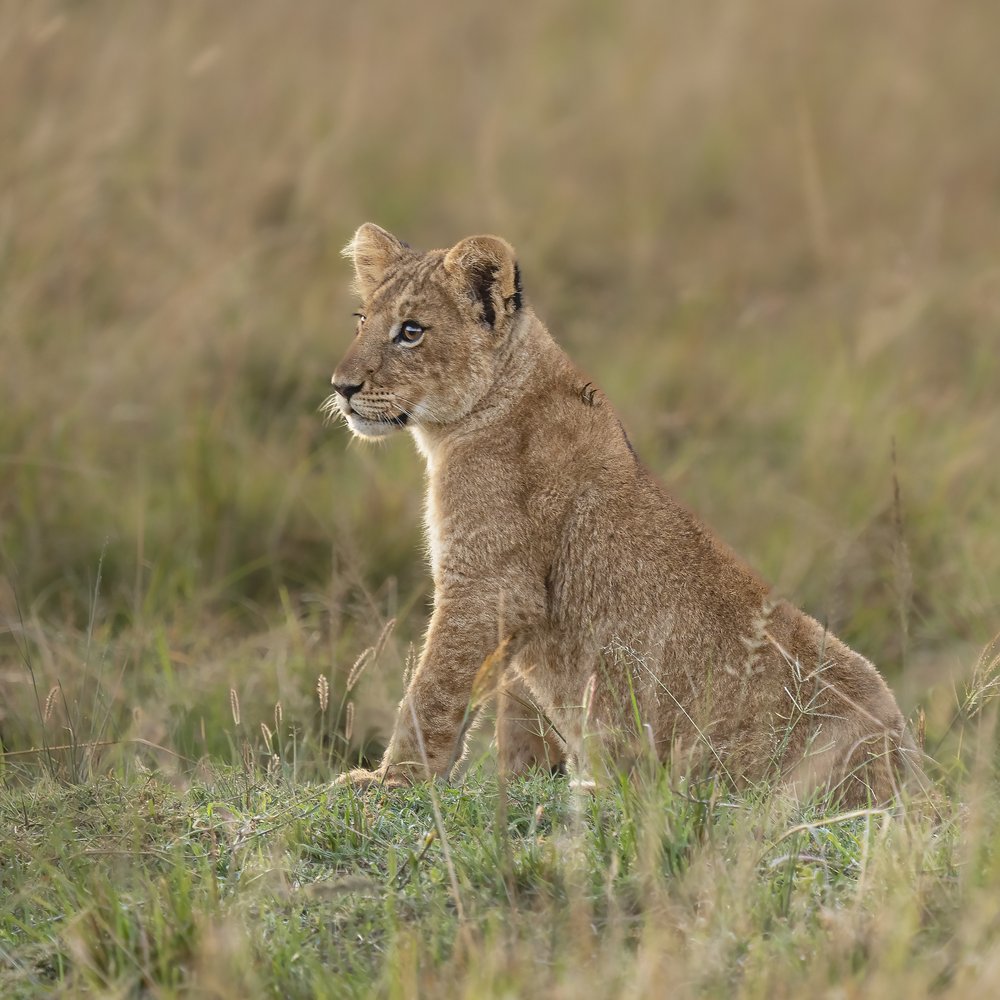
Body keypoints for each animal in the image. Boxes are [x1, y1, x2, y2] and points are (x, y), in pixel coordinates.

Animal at [327, 223, 920, 806]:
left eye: (410, 331)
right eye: (362, 320)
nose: (342, 388)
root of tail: (910, 779)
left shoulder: (488, 582)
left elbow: (433, 688)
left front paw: (393, 781)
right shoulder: (517, 603)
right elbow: (518, 714)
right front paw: (524, 780)